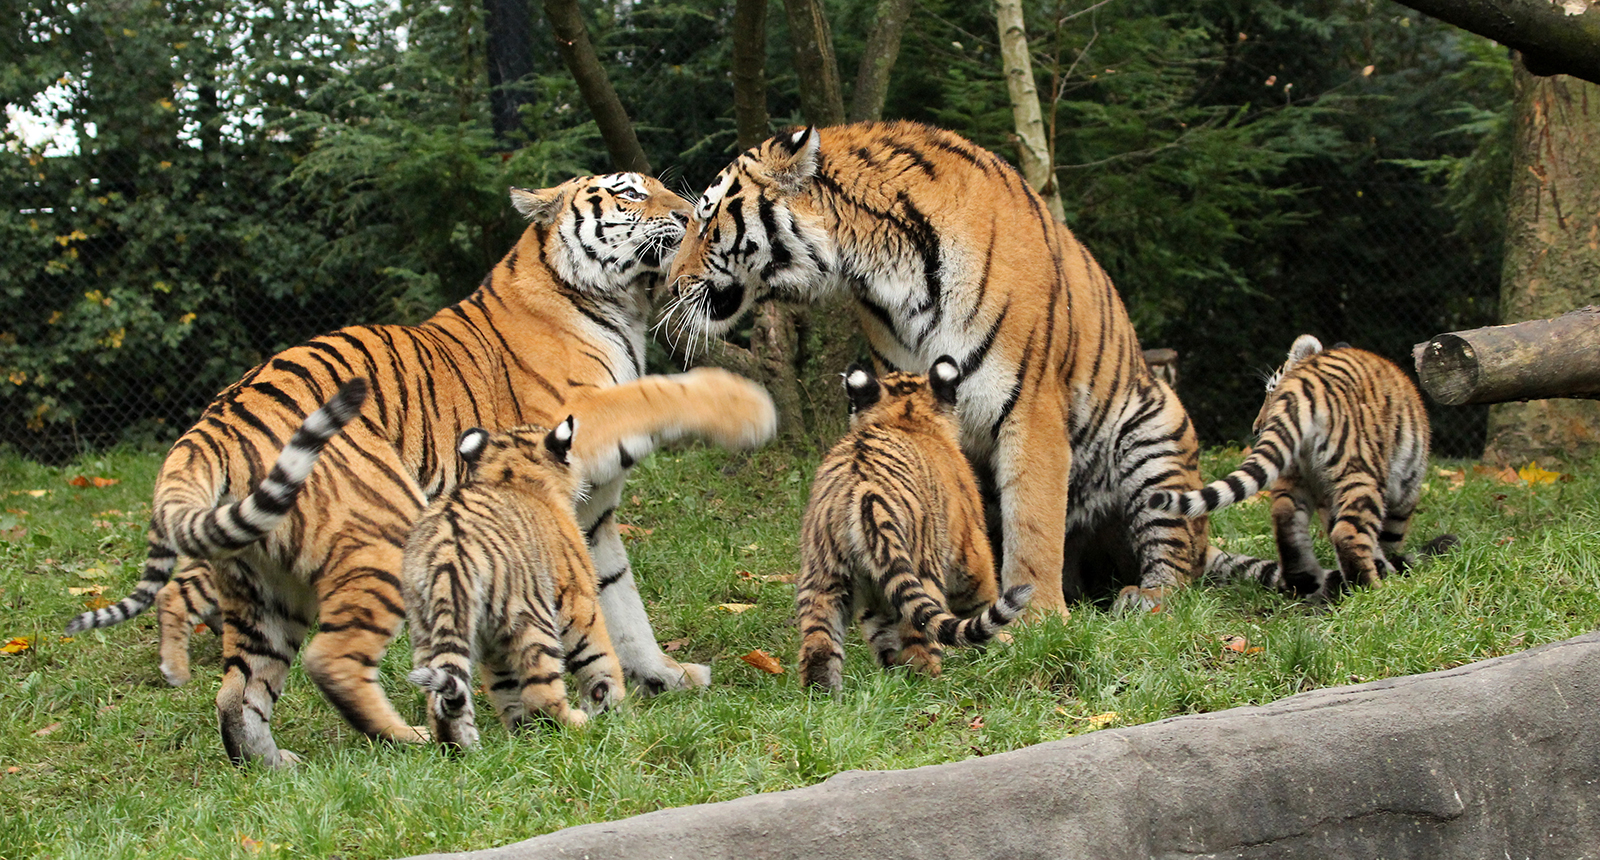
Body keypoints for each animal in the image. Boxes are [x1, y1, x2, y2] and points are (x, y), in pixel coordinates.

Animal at [67, 172, 707, 764]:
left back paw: (275, 766)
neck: (619, 307)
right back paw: (415, 739)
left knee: (239, 689)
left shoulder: (588, 518)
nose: (689, 212)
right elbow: (649, 402)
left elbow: (623, 606)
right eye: (629, 194)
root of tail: (214, 420)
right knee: (329, 660)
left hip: (265, 590)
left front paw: (665, 676)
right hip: (389, 530)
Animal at [659, 122, 1248, 617]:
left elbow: (1033, 522)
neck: (881, 268)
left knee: (1177, 559)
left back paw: (1144, 597)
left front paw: (1038, 618)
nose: (668, 282)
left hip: (1154, 431)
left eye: (706, 218)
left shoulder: (1030, 403)